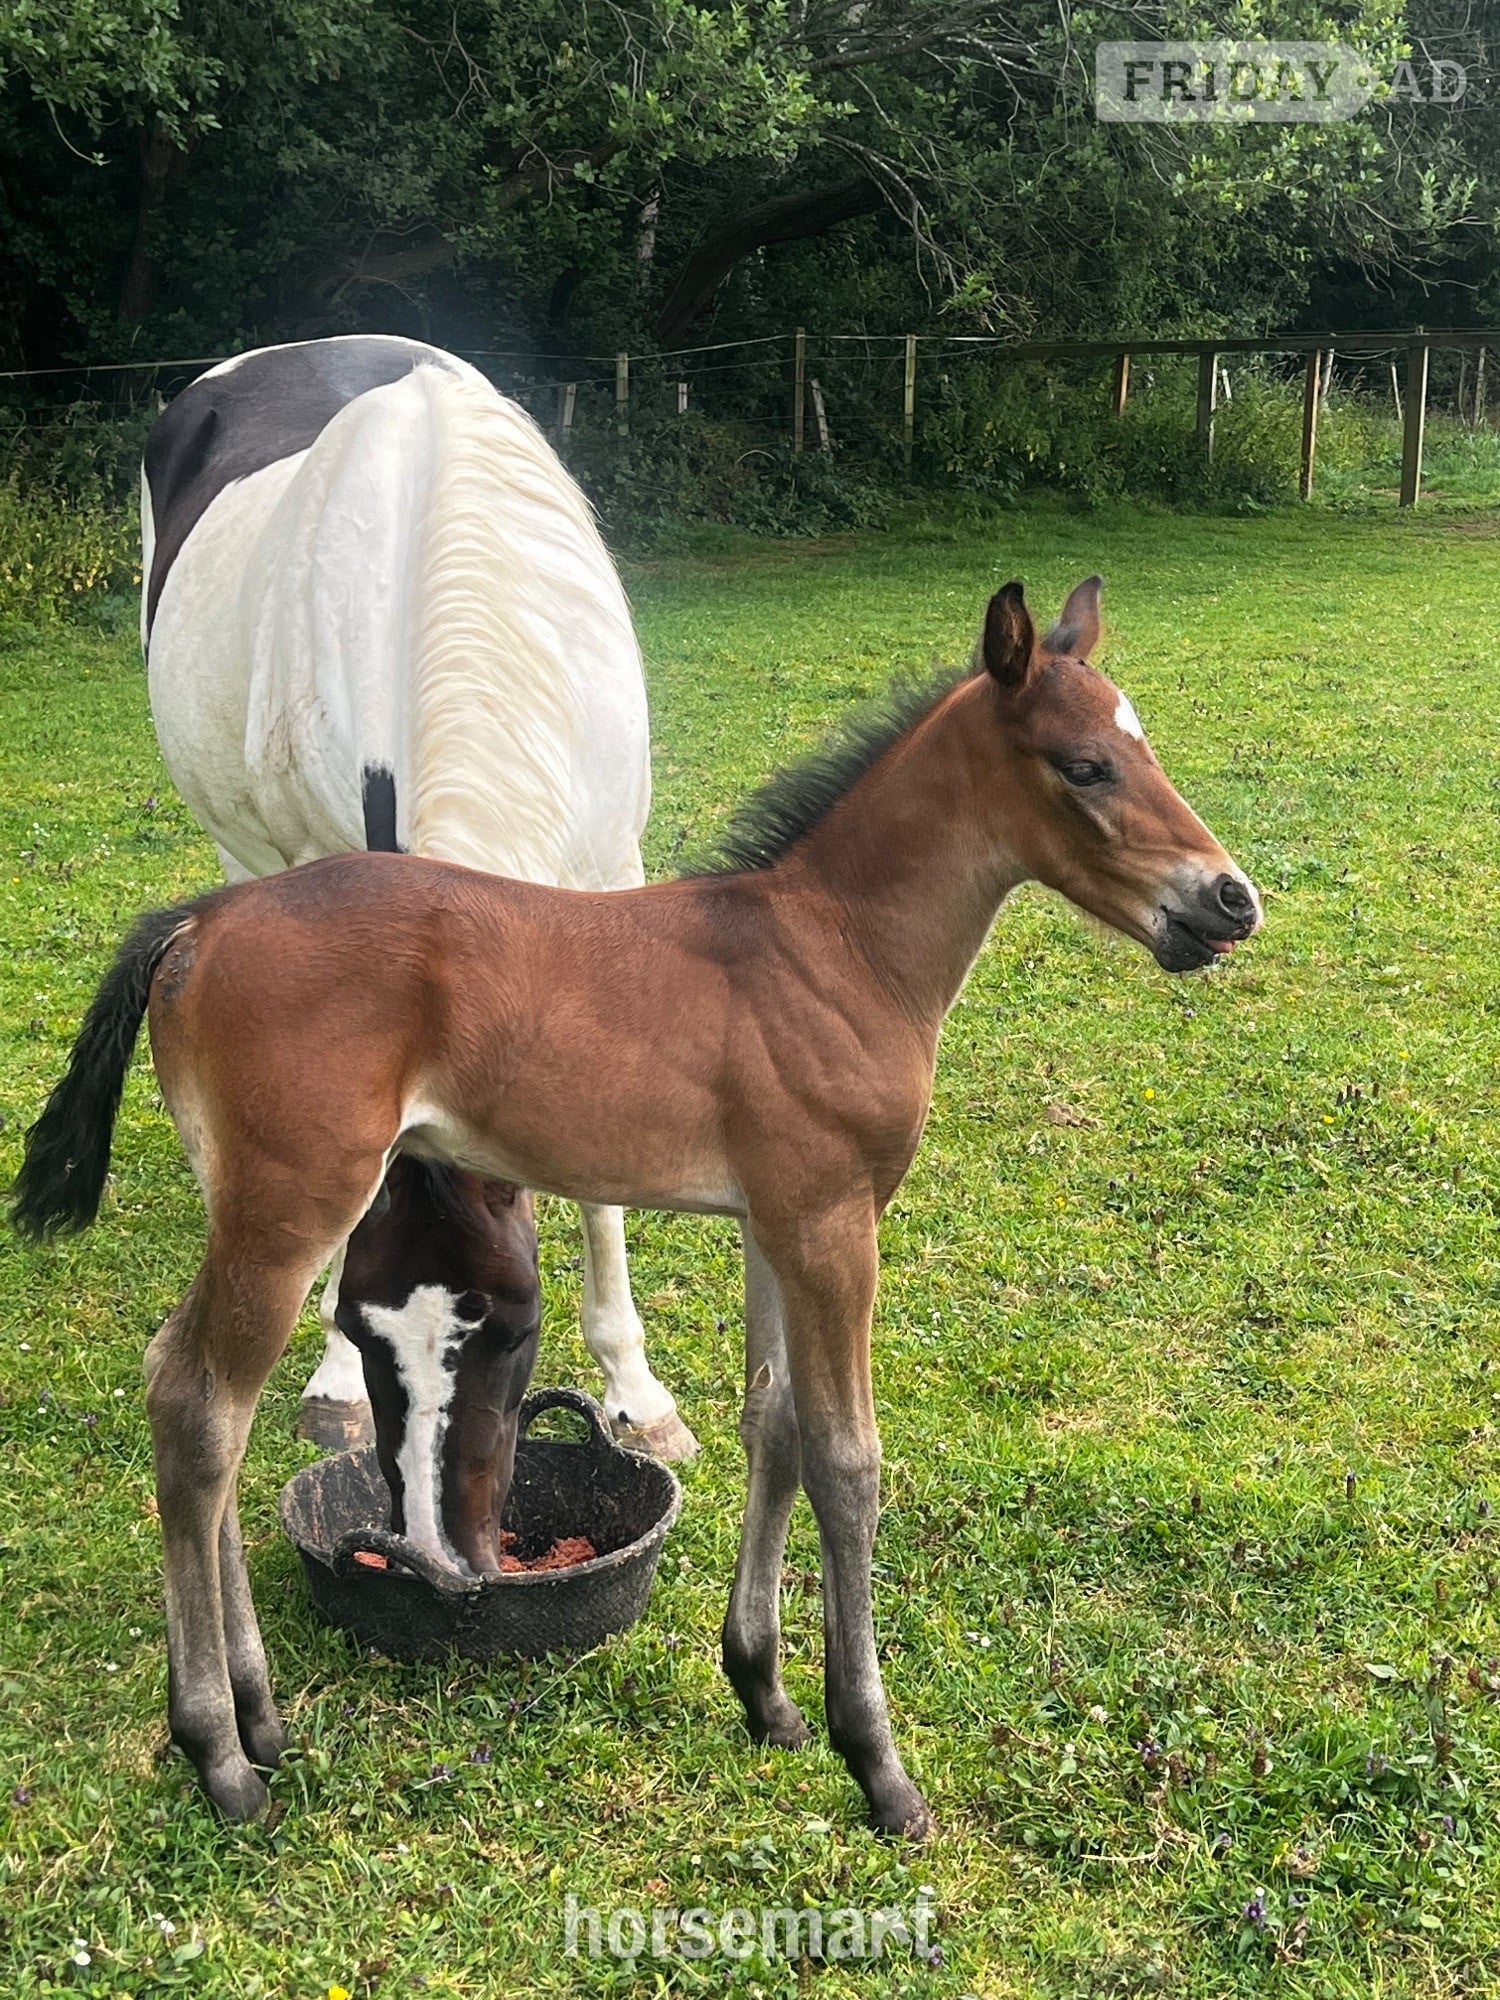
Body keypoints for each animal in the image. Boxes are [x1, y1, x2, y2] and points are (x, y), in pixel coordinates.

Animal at [14, 576, 1261, 1835]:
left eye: (1141, 746)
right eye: (1086, 765)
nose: (1230, 897)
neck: (837, 948)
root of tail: (199, 921)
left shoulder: (774, 1219)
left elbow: (775, 1424)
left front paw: (764, 1691)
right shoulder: (833, 1220)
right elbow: (848, 1459)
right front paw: (878, 1760)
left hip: (253, 1202)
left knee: (194, 1396)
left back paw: (260, 1717)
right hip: (291, 1204)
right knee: (199, 1409)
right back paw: (218, 1750)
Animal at [140, 332, 695, 1466]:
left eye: (510, 1330)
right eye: (374, 1328)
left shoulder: (609, 874)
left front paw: (637, 1391)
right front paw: (333, 1381)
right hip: (243, 855)